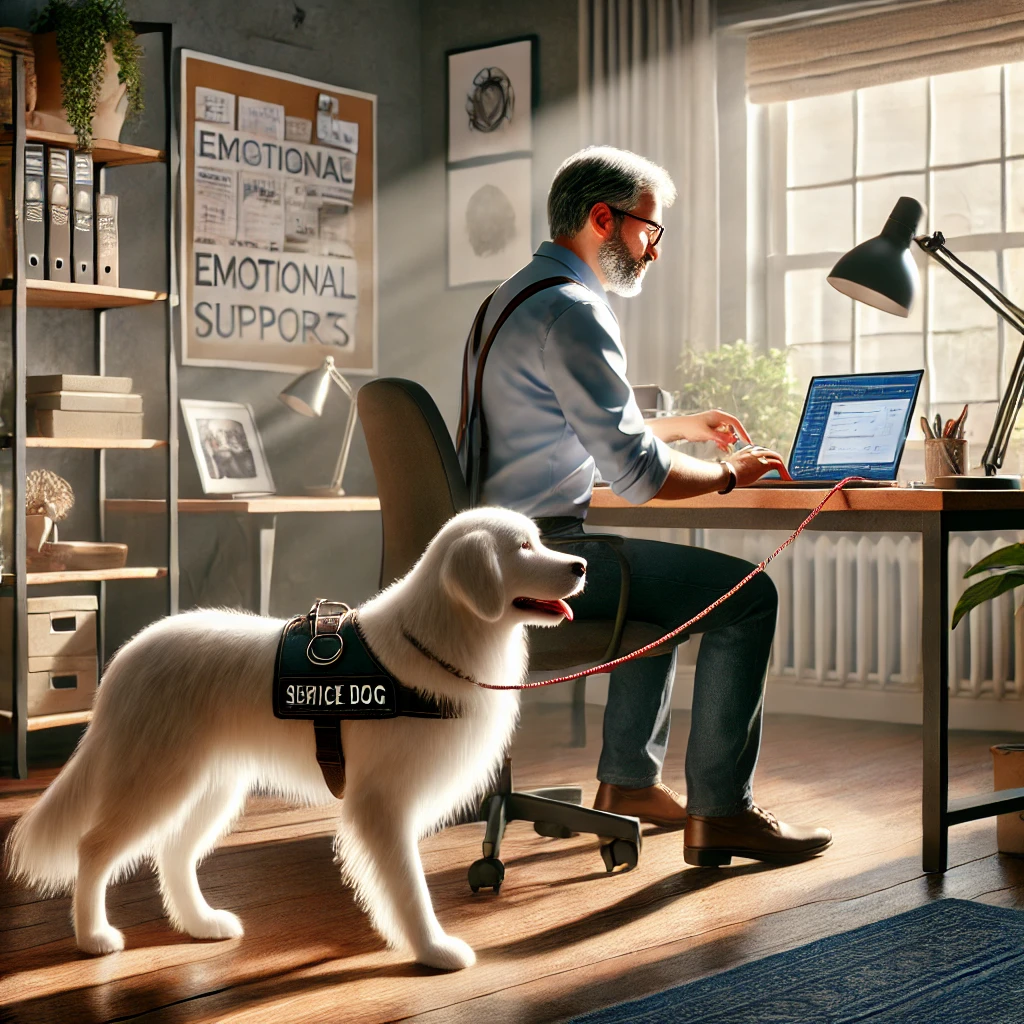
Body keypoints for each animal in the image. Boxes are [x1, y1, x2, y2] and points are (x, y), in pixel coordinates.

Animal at [6, 507, 585, 970]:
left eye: (539, 539)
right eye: (524, 547)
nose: (581, 566)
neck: (433, 646)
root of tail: (126, 660)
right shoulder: (381, 805)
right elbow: (409, 888)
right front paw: (433, 950)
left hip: (211, 786)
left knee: (172, 852)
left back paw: (200, 924)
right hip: (157, 778)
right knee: (94, 847)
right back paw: (93, 937)